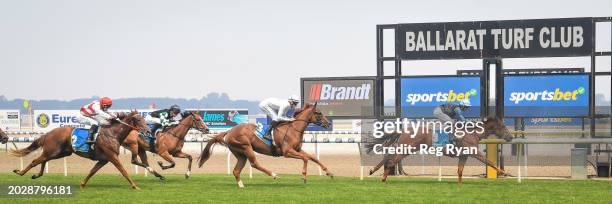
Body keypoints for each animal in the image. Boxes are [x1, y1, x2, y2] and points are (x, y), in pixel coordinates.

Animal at [9, 111, 151, 190]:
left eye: (144, 119)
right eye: (138, 119)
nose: (148, 131)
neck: (113, 133)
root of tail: (48, 133)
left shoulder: (104, 160)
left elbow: (92, 171)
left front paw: (82, 184)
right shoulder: (112, 157)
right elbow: (124, 171)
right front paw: (135, 186)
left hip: (60, 152)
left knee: (43, 160)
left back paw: (36, 174)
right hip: (54, 151)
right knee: (35, 160)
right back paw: (20, 172)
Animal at [198, 103, 332, 188]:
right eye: (318, 113)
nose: (328, 123)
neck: (293, 129)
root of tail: (229, 131)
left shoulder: (297, 149)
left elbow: (312, 157)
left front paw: (328, 172)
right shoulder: (287, 152)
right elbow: (305, 158)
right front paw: (304, 176)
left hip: (240, 154)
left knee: (236, 171)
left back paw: (241, 185)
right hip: (246, 147)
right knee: (254, 164)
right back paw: (274, 175)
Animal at [366, 117, 512, 184]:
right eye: (504, 127)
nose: (510, 137)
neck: (472, 133)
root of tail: (403, 130)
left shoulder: (464, 155)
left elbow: (460, 170)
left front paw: (460, 184)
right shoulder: (474, 152)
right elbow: (489, 162)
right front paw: (504, 172)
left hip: (406, 148)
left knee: (388, 156)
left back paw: (374, 170)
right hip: (407, 148)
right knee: (391, 160)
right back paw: (383, 177)